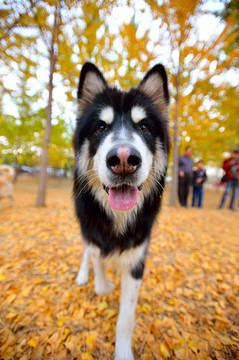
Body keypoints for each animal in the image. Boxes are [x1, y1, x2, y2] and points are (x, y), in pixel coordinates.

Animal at [73, 62, 170, 360]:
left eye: (144, 127)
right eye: (101, 127)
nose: (124, 159)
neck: (117, 218)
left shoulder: (137, 259)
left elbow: (125, 319)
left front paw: (123, 352)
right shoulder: (92, 232)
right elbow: (97, 263)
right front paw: (104, 284)